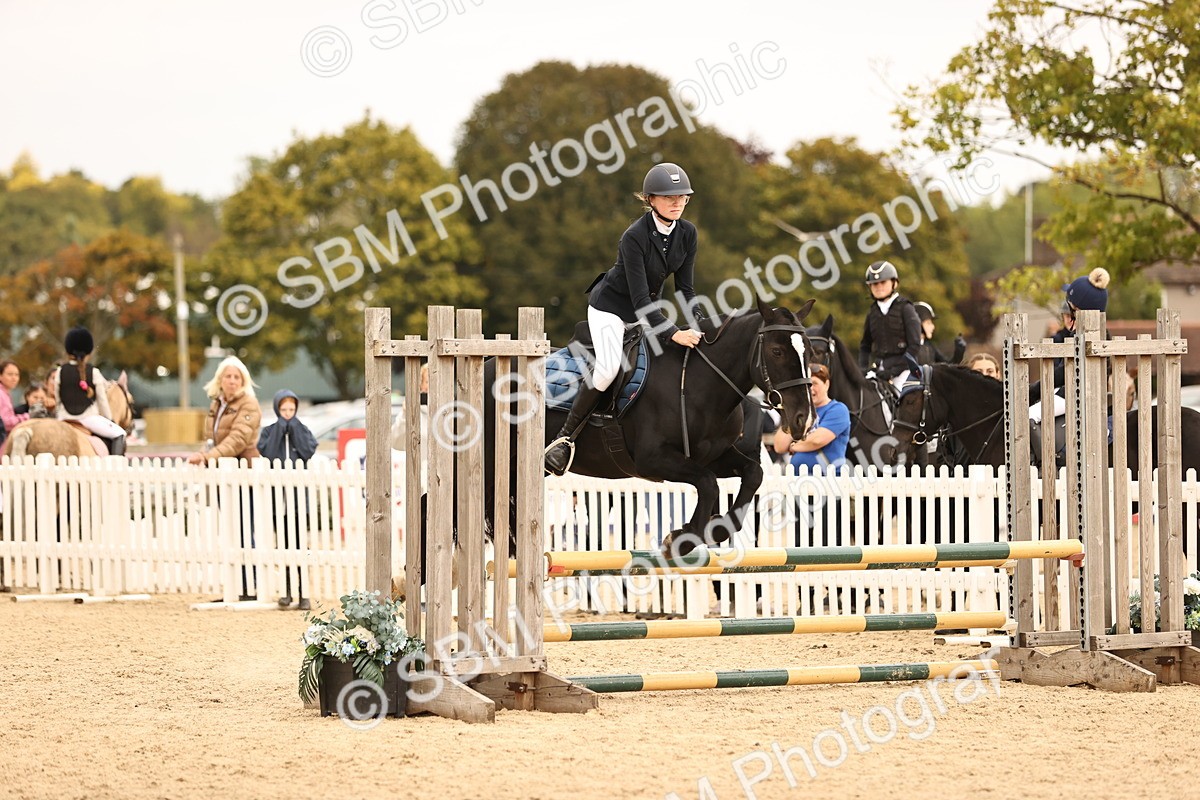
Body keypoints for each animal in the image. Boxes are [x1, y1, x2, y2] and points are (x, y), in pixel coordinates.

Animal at [485, 298, 818, 558]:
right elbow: (708, 483)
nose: (803, 419)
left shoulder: (712, 455)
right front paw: (682, 540)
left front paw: (715, 528)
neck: (699, 381)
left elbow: (752, 474)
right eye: (776, 351)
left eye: (809, 353)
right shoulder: (653, 460)